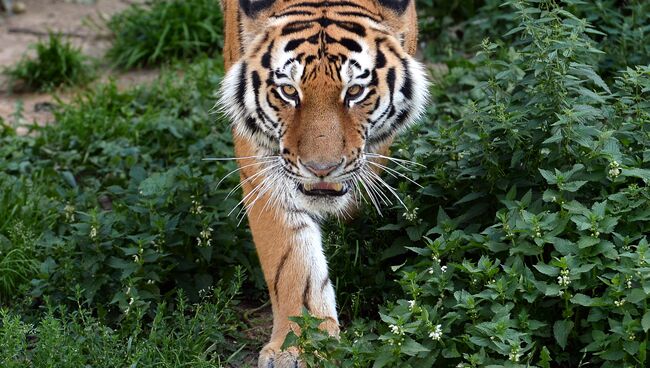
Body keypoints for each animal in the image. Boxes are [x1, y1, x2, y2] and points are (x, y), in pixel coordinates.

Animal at [218, 0, 428, 366]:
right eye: (288, 91)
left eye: (355, 91)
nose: (321, 169)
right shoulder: (262, 159)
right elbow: (291, 259)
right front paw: (298, 345)